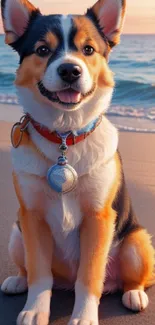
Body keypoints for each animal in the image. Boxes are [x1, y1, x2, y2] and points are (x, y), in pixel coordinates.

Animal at [0, 0, 154, 324]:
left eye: (88, 49)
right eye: (43, 50)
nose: (70, 70)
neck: (64, 136)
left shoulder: (98, 219)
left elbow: (89, 276)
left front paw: (83, 315)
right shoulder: (32, 217)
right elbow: (39, 274)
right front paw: (36, 309)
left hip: (136, 241)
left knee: (136, 277)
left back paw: (133, 293)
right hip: (16, 233)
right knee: (28, 268)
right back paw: (17, 280)